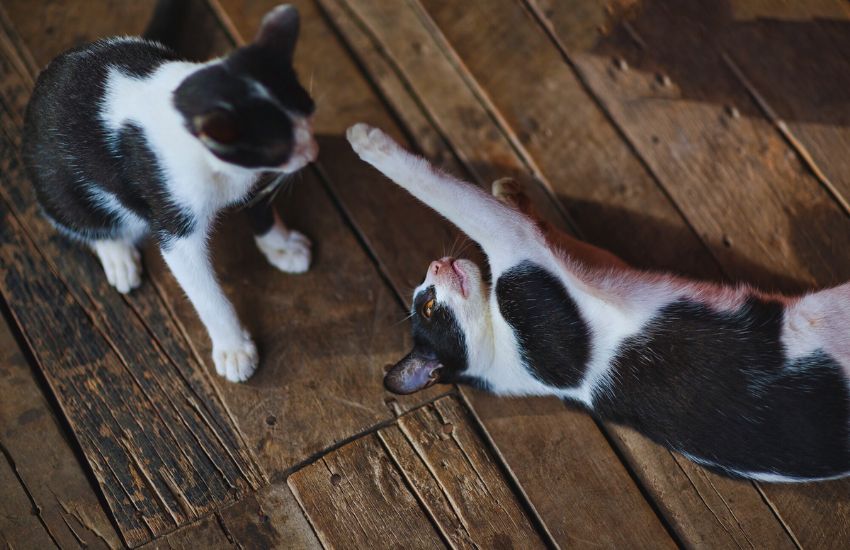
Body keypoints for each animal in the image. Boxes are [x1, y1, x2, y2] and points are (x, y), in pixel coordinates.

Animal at [22, 4, 318, 384]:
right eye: (278, 147)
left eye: (310, 110)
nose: (312, 152)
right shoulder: (172, 216)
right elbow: (204, 291)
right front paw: (233, 348)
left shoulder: (248, 177)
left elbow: (260, 206)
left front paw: (281, 245)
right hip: (56, 183)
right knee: (79, 217)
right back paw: (117, 256)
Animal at [344, 124, 848, 484]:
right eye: (427, 307)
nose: (435, 262)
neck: (503, 353)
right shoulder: (521, 257)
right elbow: (452, 197)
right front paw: (366, 141)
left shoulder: (590, 263)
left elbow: (556, 234)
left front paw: (514, 193)